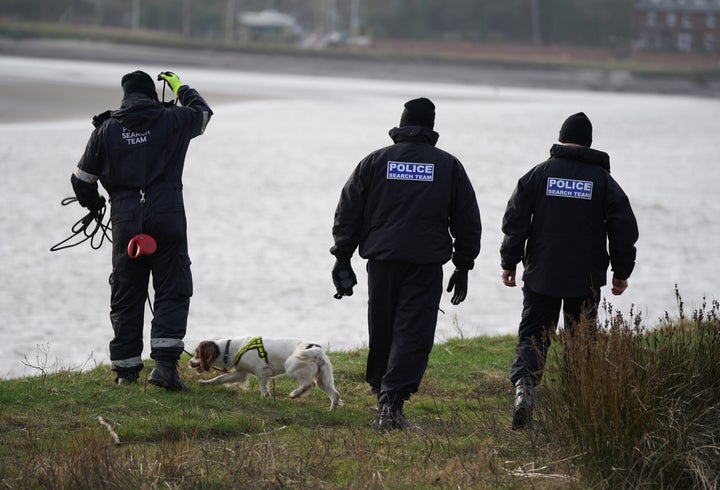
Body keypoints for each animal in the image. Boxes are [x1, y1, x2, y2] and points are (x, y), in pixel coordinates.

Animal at [186, 336, 344, 410]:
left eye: (197, 354)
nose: (189, 363)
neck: (229, 349)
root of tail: (315, 349)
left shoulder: (261, 370)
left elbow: (263, 388)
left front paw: (264, 398)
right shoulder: (241, 373)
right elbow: (219, 378)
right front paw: (205, 383)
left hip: (292, 367)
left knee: (307, 384)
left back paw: (295, 394)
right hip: (323, 379)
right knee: (335, 394)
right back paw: (332, 410)